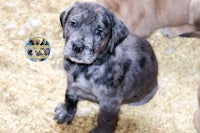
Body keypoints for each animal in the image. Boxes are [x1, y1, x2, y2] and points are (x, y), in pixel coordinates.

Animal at [54, 2, 159, 133]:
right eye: (73, 23)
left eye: (99, 31)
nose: (77, 47)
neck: (85, 68)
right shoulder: (72, 85)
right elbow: (69, 99)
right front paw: (65, 113)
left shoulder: (110, 102)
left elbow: (105, 120)